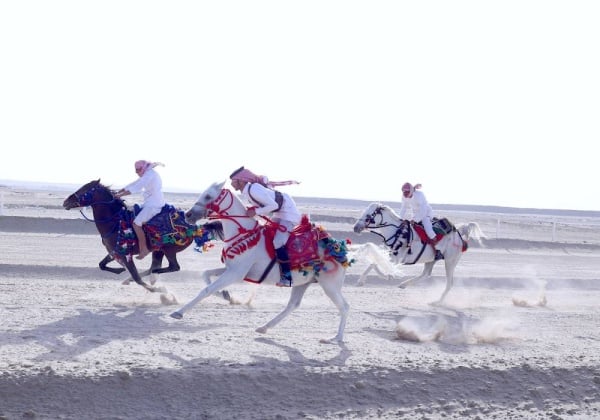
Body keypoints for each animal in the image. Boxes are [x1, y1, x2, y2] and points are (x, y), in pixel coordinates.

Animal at [169, 182, 354, 342]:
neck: (243, 234)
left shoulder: (236, 273)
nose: (188, 214)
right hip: (303, 282)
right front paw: (226, 295)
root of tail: (339, 249)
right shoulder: (233, 270)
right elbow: (206, 275)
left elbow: (206, 290)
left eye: (208, 195)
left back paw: (336, 338)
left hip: (329, 285)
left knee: (344, 307)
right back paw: (263, 327)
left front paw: (178, 312)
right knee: (292, 305)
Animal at [352, 203, 482, 304]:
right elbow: (374, 263)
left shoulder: (396, 258)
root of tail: (459, 236)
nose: (355, 228)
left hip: (450, 262)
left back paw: (436, 302)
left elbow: (376, 264)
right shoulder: (390, 256)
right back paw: (403, 284)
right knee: (425, 275)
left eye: (369, 215)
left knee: (449, 283)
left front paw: (384, 276)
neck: (397, 232)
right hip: (431, 260)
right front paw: (362, 280)